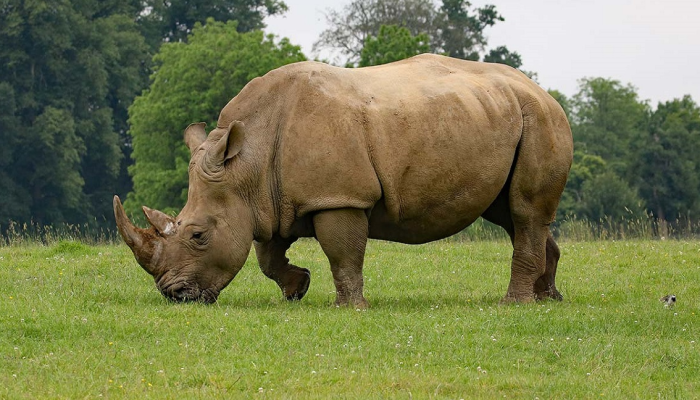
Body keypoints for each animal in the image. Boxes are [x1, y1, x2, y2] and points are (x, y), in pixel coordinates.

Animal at [114, 54, 573, 307]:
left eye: (198, 236)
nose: (174, 296)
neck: (246, 165)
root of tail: (543, 90)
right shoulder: (267, 200)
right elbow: (266, 255)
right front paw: (297, 289)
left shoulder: (339, 196)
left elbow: (343, 252)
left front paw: (350, 307)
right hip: (501, 115)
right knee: (513, 215)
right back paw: (547, 298)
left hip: (540, 119)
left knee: (524, 211)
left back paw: (514, 303)